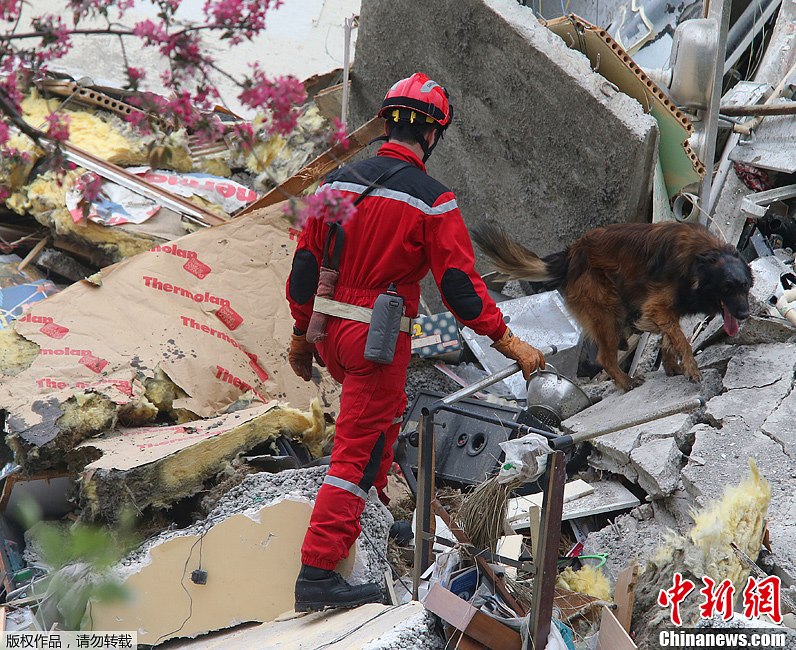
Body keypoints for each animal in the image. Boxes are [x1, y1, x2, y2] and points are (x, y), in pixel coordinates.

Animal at [472, 220, 752, 388]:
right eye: (727, 287)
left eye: (745, 286)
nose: (745, 314)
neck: (702, 259)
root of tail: (571, 255)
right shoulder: (657, 306)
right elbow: (681, 338)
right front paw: (690, 368)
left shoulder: (667, 309)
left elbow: (671, 336)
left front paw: (671, 363)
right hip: (606, 311)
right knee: (605, 358)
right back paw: (625, 381)